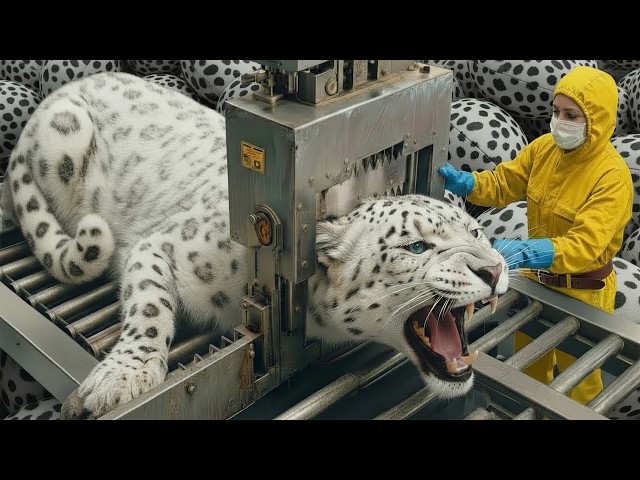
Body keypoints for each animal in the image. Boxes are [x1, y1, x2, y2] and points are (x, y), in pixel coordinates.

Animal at [0, 71, 509, 419]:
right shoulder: (159, 246)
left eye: (475, 232)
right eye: (416, 247)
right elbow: (149, 307)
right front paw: (123, 378)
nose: (494, 270)